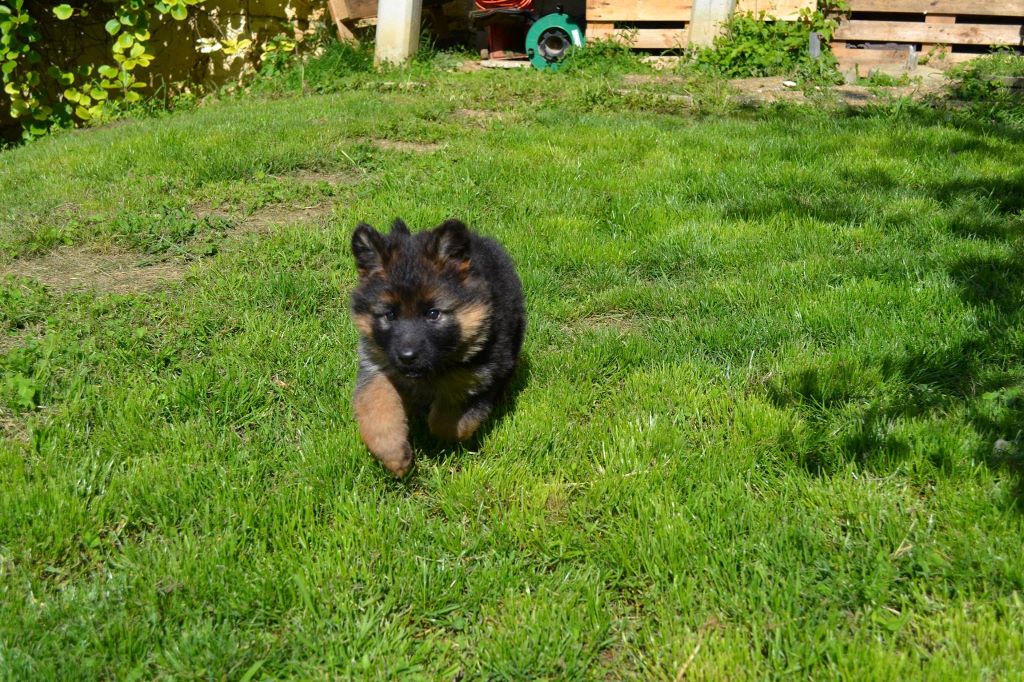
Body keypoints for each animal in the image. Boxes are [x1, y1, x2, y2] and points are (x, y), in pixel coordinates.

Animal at [352, 218, 528, 473]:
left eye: (433, 314)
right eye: (390, 315)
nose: (407, 357)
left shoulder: (477, 376)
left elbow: (444, 421)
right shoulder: (376, 365)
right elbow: (376, 407)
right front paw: (394, 454)